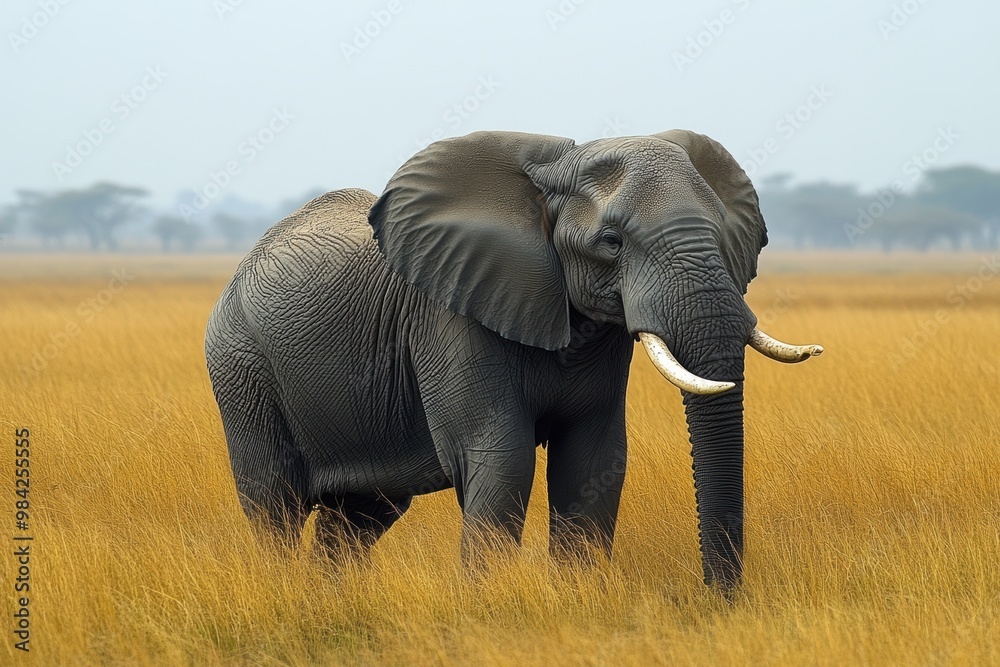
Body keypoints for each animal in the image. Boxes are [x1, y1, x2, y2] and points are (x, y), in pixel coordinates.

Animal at [205, 129, 822, 591]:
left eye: (721, 233)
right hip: (240, 367)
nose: (716, 601)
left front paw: (577, 597)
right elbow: (502, 457)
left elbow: (593, 459)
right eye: (612, 242)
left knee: (359, 516)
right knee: (275, 507)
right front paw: (487, 606)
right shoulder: (449, 315)